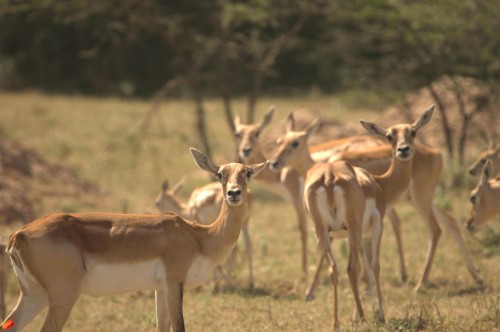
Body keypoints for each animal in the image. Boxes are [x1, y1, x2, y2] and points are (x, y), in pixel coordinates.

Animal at [1, 148, 268, 332]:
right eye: (221, 173)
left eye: (248, 172)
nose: (234, 193)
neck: (199, 237)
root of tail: (18, 235)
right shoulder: (174, 283)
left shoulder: (160, 289)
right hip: (62, 297)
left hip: (34, 295)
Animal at [270, 107, 434, 328]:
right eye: (390, 136)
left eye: (413, 132)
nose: (403, 150)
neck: (380, 184)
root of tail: (329, 177)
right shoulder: (374, 226)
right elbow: (373, 265)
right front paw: (378, 314)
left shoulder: (348, 233)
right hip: (354, 227)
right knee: (352, 268)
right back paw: (366, 314)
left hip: (324, 230)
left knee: (335, 269)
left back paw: (337, 322)